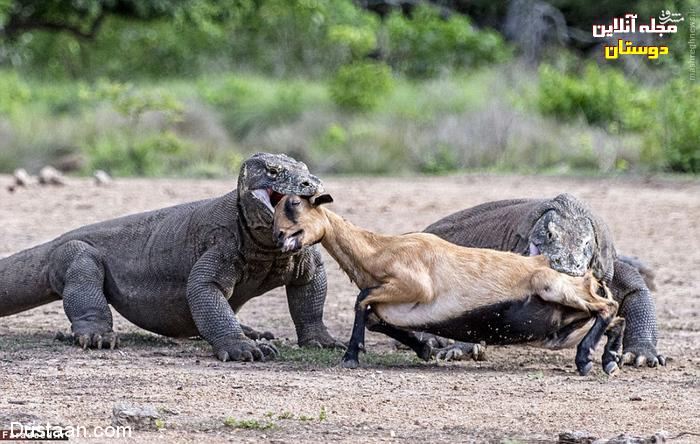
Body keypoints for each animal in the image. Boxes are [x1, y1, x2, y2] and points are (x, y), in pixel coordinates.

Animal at [272, 194, 624, 374]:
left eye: (295, 205)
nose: (278, 236)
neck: (378, 251)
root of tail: (591, 280)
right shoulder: (395, 305)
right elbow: (372, 315)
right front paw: (424, 348)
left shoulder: (416, 285)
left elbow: (362, 299)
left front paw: (351, 355)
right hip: (565, 321)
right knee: (614, 318)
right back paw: (609, 360)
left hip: (554, 287)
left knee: (609, 307)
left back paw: (586, 360)